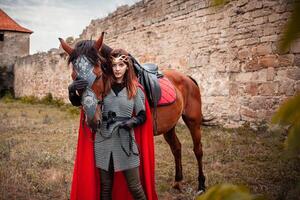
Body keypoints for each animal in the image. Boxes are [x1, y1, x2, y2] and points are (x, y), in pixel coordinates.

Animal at [59, 32, 207, 194]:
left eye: (98, 75)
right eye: (75, 78)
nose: (92, 120)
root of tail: (188, 78)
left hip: (193, 121)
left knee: (198, 150)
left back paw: (201, 185)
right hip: (169, 126)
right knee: (177, 148)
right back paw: (178, 181)